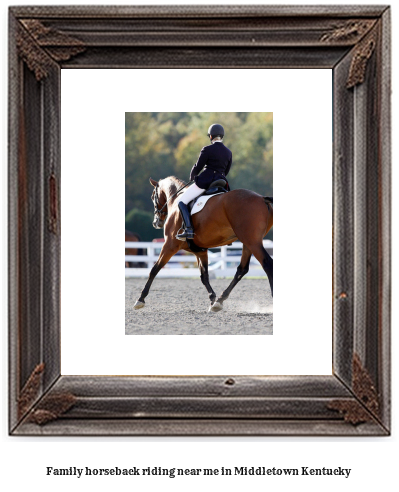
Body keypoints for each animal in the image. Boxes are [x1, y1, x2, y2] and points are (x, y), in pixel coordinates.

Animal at [133, 177, 274, 314]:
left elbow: (154, 269)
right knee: (242, 269)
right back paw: (219, 301)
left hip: (252, 242)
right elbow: (204, 276)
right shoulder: (200, 251)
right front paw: (212, 300)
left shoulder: (170, 245)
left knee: (267, 264)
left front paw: (140, 300)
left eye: (153, 196)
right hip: (247, 243)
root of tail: (262, 198)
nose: (156, 222)